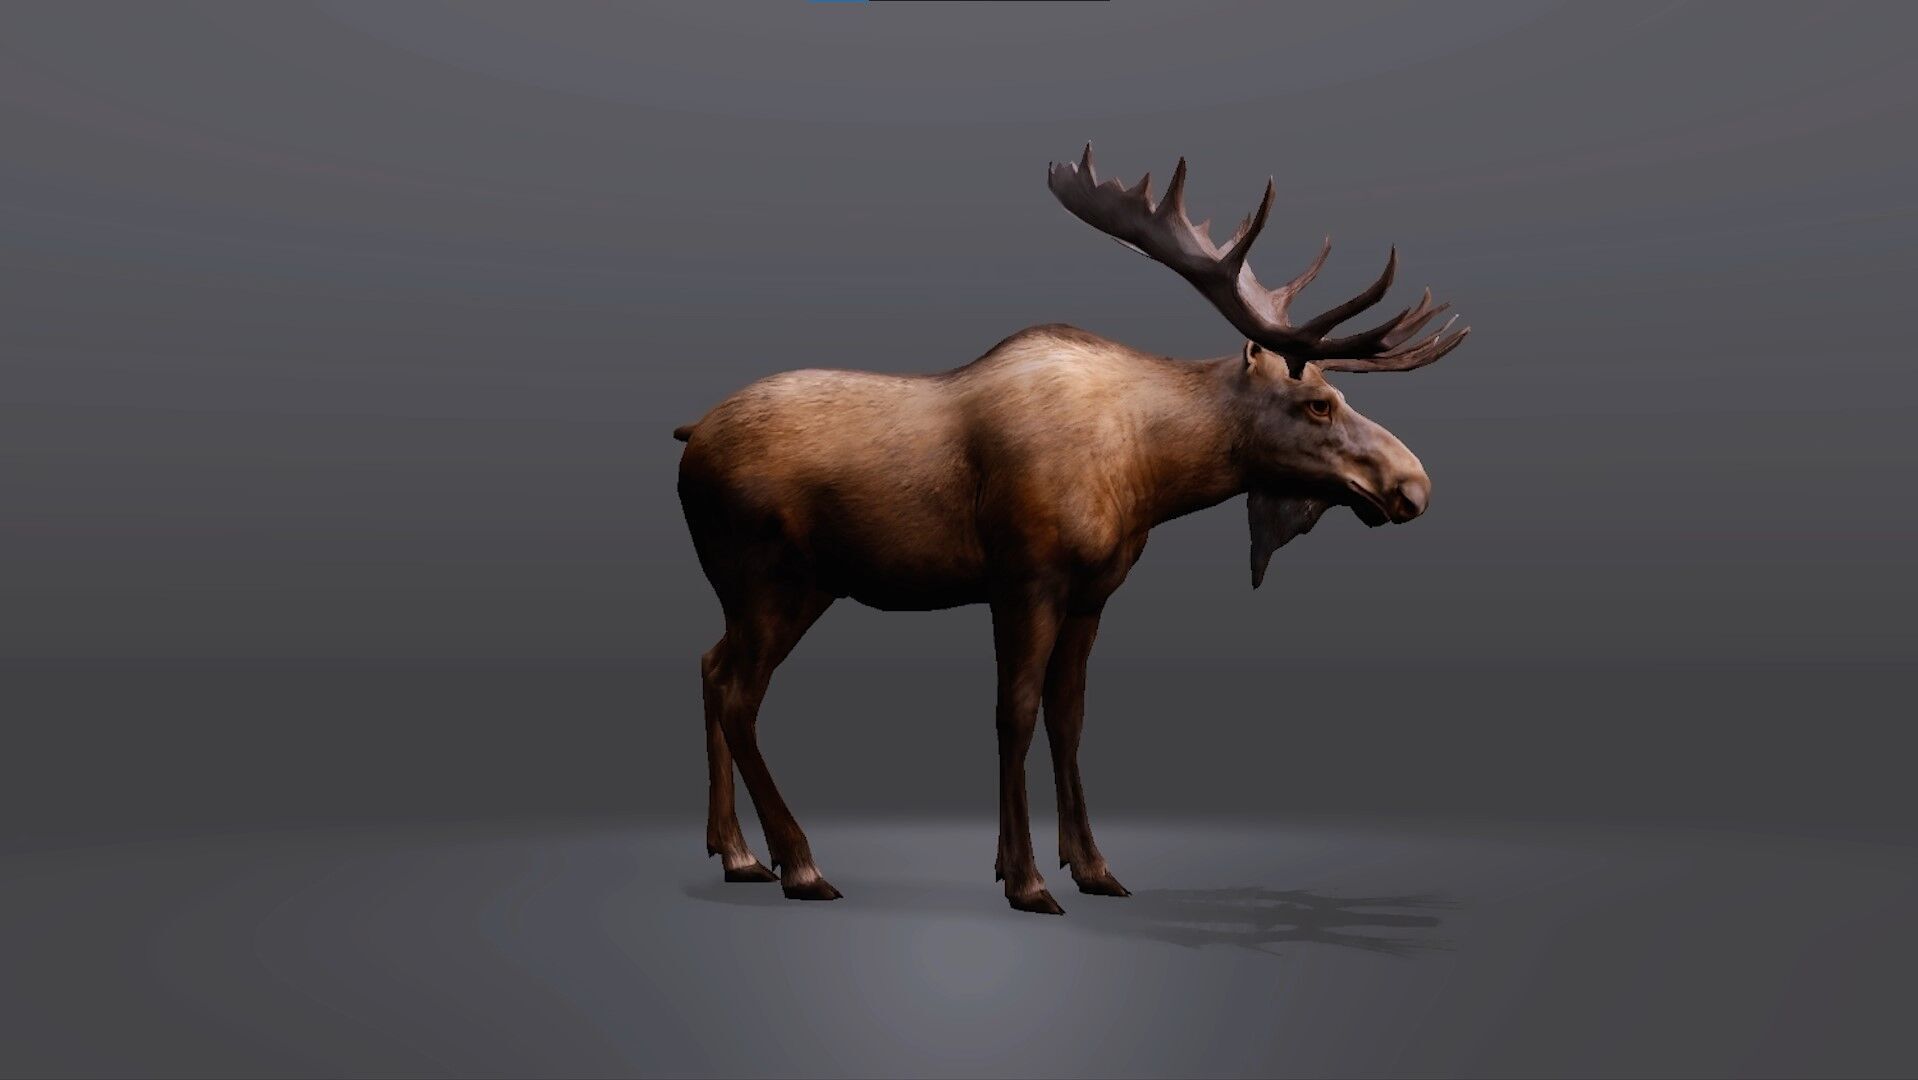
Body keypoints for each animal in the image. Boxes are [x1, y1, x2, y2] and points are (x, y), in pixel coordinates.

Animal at [674, 146, 1469, 914]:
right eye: (1317, 402)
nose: (1413, 486)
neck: (1149, 472)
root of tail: (688, 436)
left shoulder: (1092, 593)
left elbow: (1069, 717)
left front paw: (1091, 867)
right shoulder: (1025, 580)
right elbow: (1014, 713)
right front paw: (1025, 878)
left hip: (789, 591)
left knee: (711, 667)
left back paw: (737, 855)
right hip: (772, 580)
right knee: (740, 694)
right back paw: (800, 864)